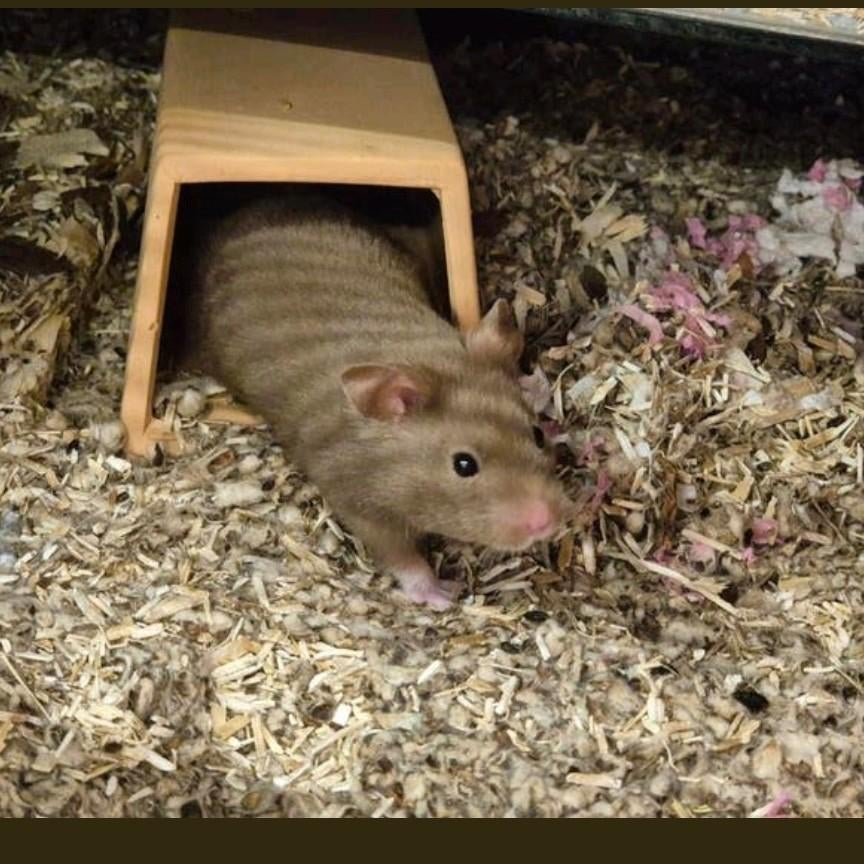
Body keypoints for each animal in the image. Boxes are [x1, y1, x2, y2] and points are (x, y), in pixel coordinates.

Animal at [178, 194, 570, 610]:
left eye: (536, 437)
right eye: (464, 465)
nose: (546, 522)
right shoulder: (357, 500)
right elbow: (399, 555)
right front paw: (444, 594)